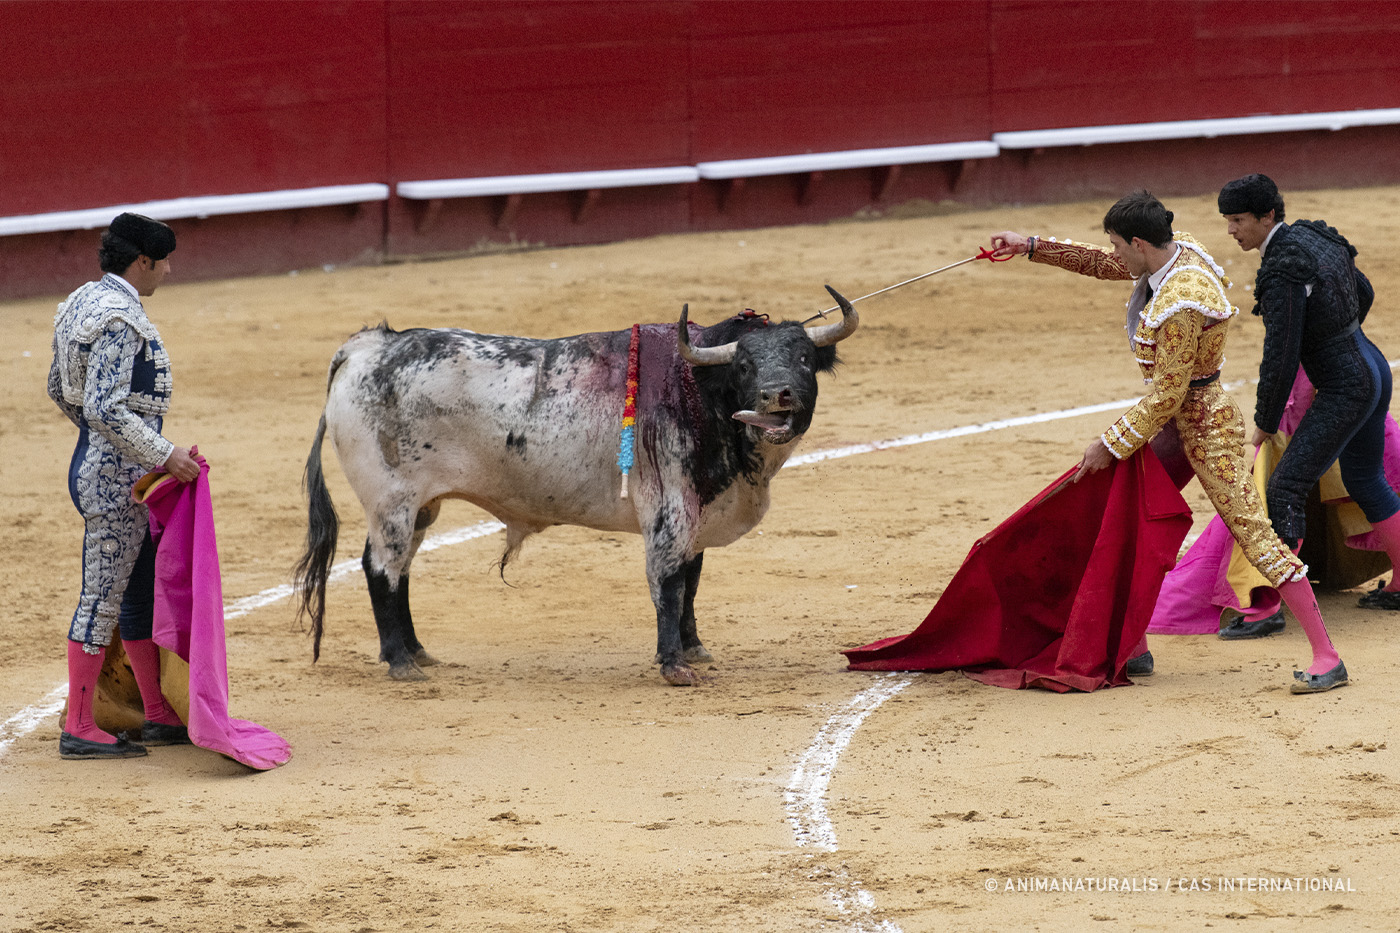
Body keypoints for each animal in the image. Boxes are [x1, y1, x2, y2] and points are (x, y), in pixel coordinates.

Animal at [294, 282, 856, 683]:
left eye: (804, 358)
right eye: (744, 364)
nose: (777, 395)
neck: (700, 387)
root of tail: (371, 344)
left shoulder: (698, 511)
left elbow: (692, 581)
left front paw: (695, 648)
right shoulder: (669, 511)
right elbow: (669, 583)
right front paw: (674, 664)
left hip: (420, 508)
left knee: (401, 569)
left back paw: (418, 652)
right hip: (391, 502)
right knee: (380, 569)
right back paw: (400, 663)